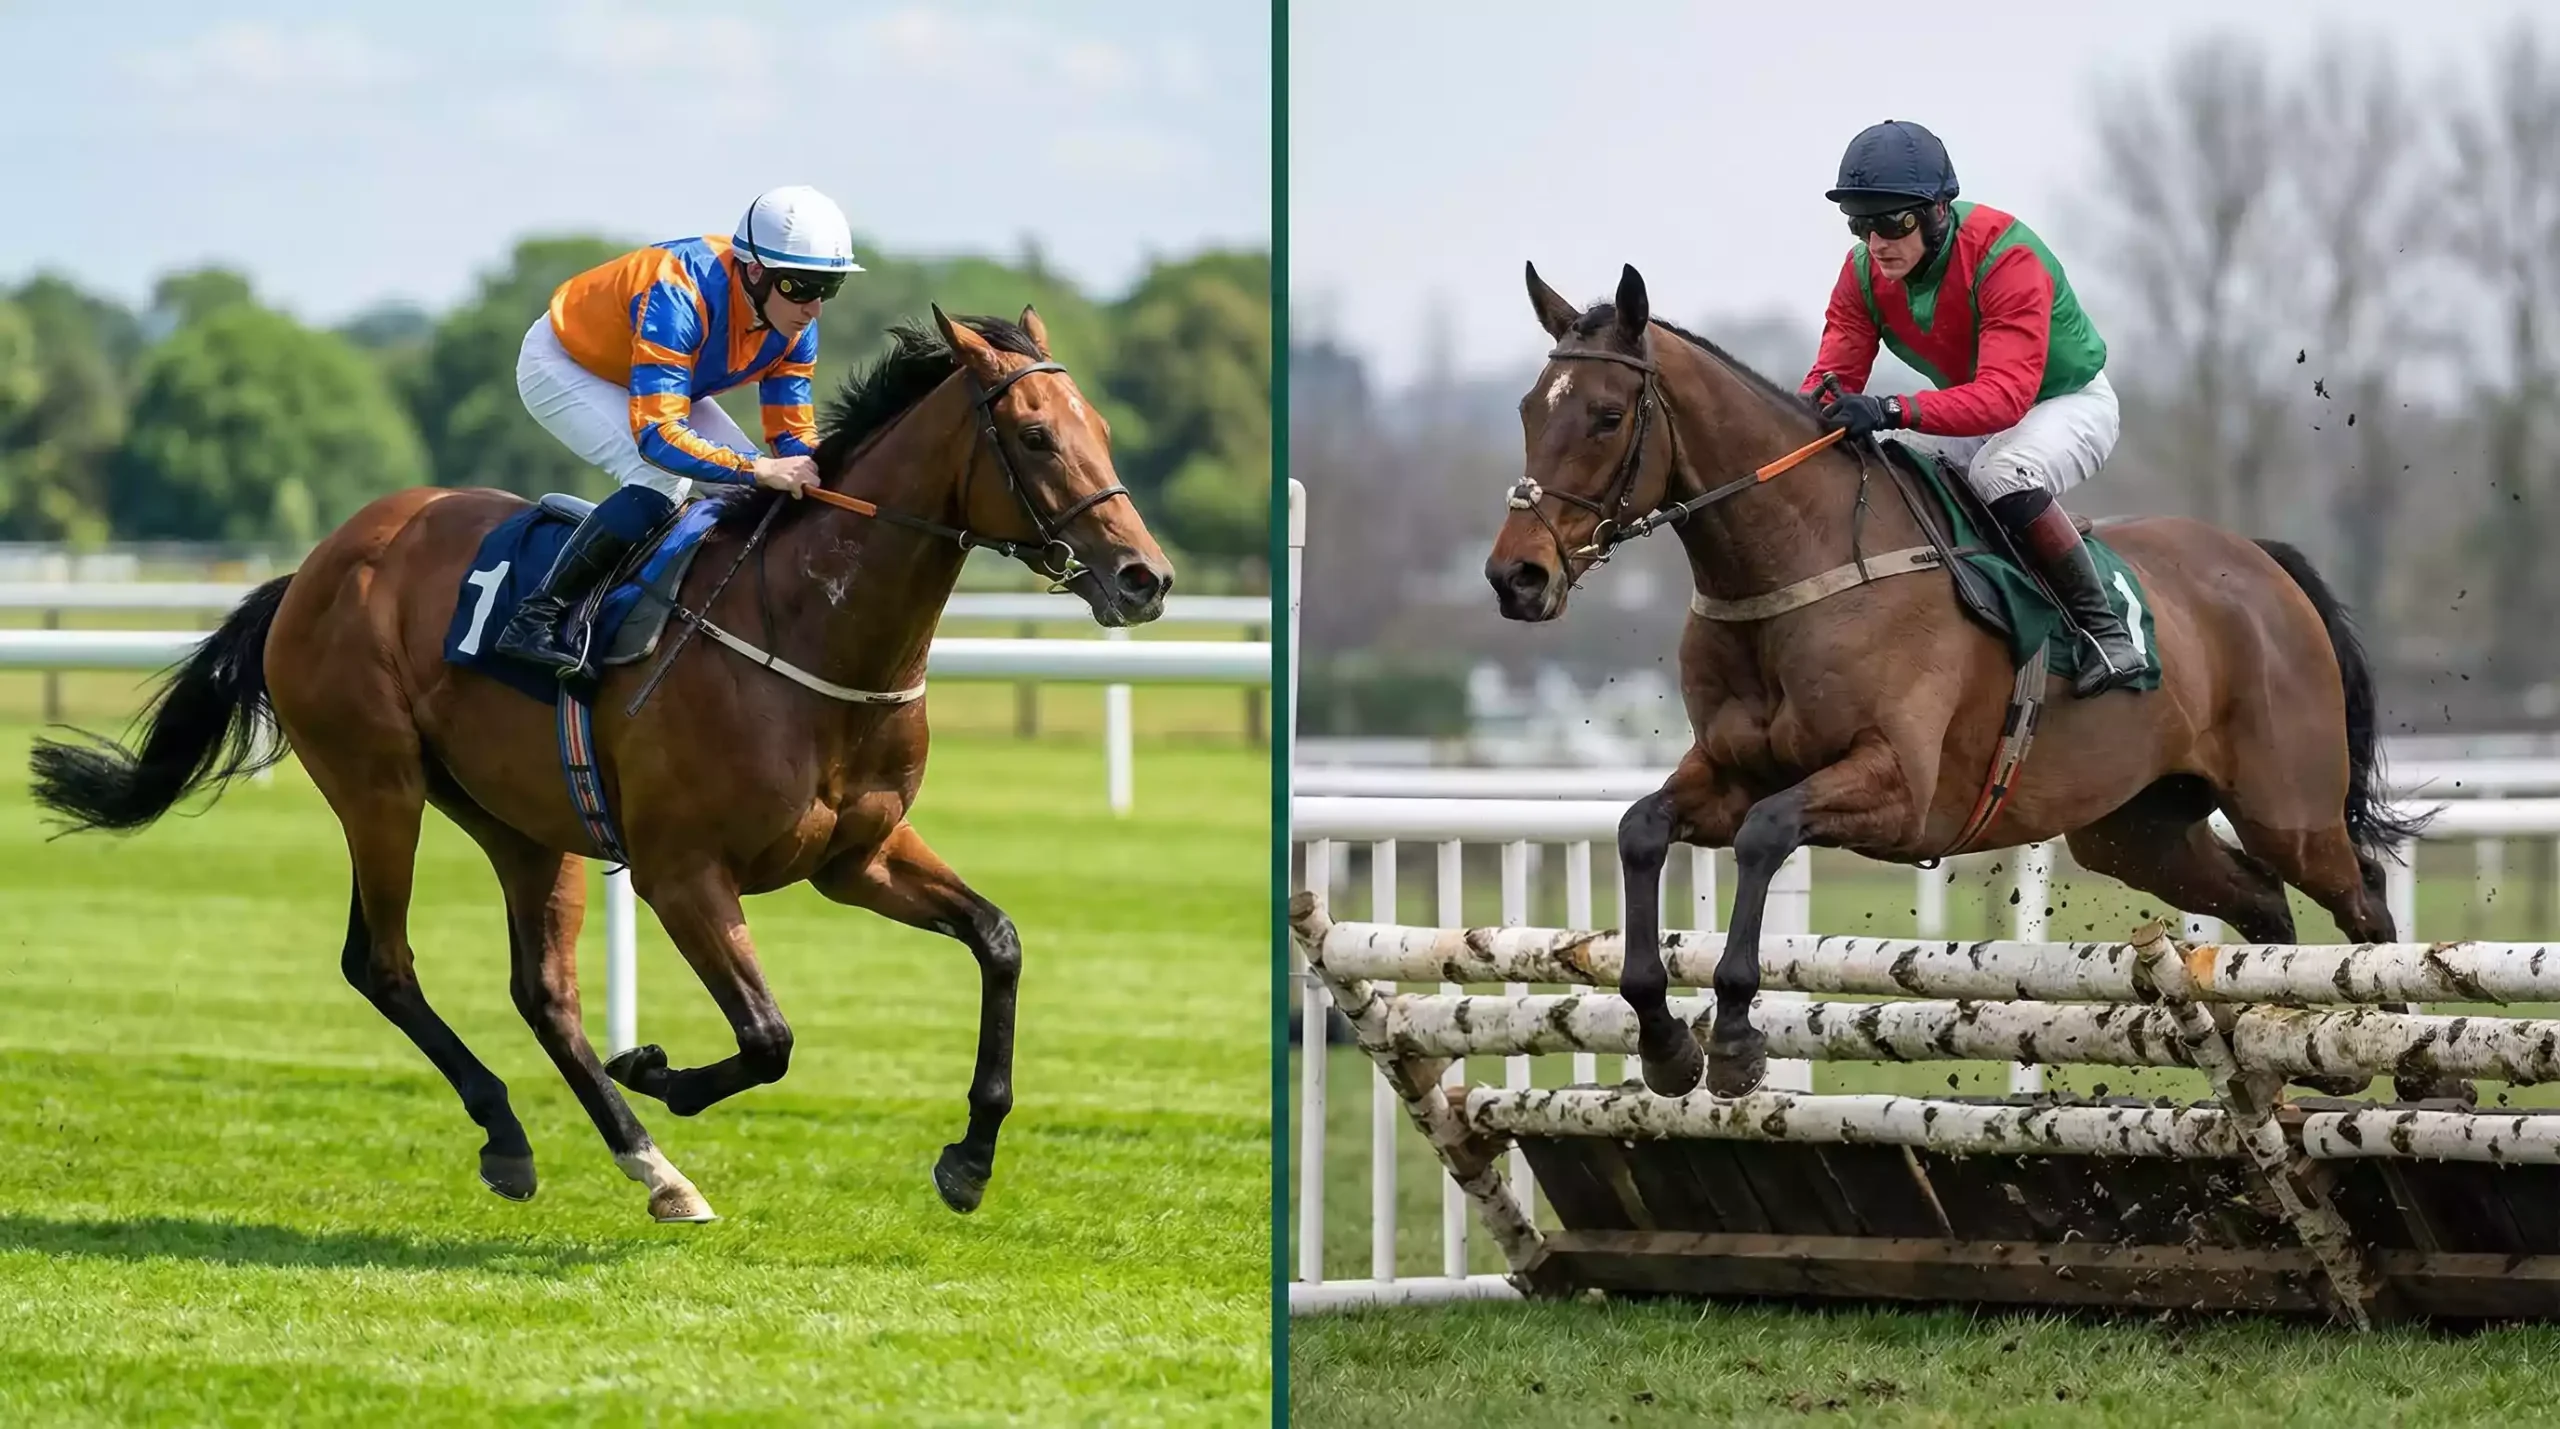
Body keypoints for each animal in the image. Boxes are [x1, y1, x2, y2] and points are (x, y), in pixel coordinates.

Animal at [30, 306, 1173, 1222]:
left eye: (1103, 430)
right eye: (1035, 433)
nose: (1144, 577)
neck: (808, 629)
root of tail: (318, 563)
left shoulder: (859, 856)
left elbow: (998, 941)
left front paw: (970, 1159)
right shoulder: (681, 870)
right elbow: (769, 1036)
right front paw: (659, 1066)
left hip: (524, 822)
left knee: (544, 994)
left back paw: (651, 1167)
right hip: (377, 784)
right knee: (383, 963)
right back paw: (513, 1135)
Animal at [1486, 263, 2438, 1103]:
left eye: (1607, 415)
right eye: (1529, 409)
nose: (1515, 577)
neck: (1803, 563)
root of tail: (2262, 563)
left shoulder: (1898, 788)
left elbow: (1764, 835)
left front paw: (1733, 1038)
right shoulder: (1727, 769)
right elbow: (1641, 830)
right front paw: (1663, 1040)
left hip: (2287, 806)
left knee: (2365, 900)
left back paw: (2414, 1063)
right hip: (2136, 829)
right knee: (2262, 903)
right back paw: (2298, 1046)